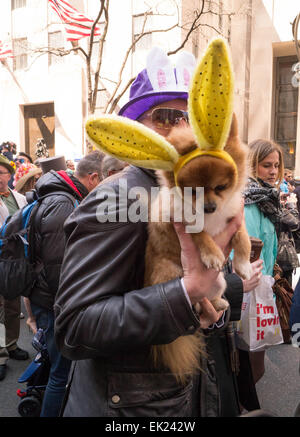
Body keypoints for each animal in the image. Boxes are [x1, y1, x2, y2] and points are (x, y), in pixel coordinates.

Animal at [144, 113, 252, 382]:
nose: (210, 207)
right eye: (193, 191)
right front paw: (212, 253)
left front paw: (244, 264)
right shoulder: (179, 222)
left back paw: (220, 304)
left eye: (221, 187)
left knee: (209, 300)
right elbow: (200, 233)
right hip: (173, 273)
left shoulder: (235, 218)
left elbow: (243, 238)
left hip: (220, 283)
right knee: (196, 303)